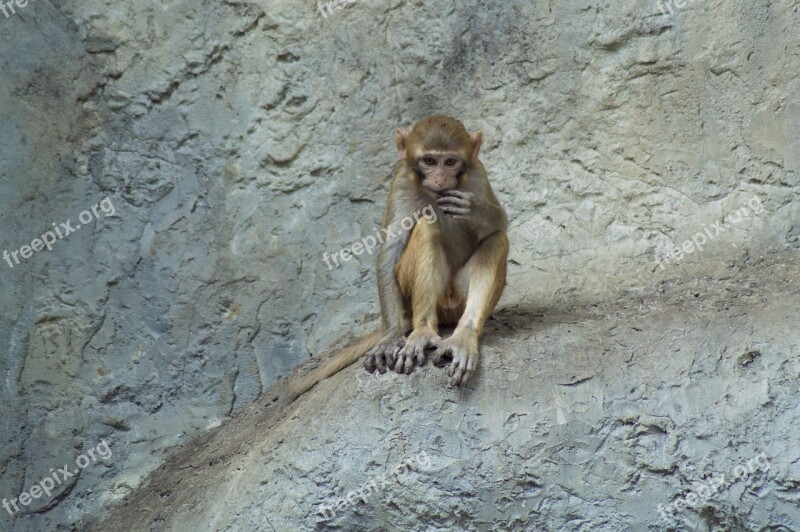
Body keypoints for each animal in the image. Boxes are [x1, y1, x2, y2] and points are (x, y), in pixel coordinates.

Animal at [282, 117, 506, 404]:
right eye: (430, 161)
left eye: (450, 162)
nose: (440, 178)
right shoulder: (401, 182)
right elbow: (390, 252)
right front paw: (389, 337)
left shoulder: (478, 173)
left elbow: (499, 224)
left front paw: (476, 210)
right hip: (422, 301)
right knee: (427, 225)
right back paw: (422, 330)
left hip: (457, 301)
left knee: (497, 239)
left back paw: (464, 335)